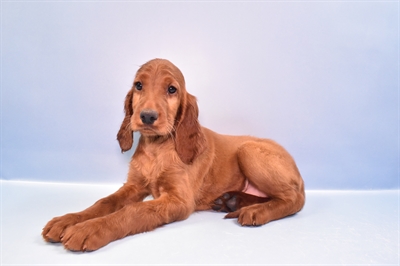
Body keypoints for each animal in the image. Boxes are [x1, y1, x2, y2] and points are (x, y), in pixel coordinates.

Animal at [42, 58, 304, 251]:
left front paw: (89, 229)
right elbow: (105, 201)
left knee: (294, 199)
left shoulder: (178, 200)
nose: (147, 116)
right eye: (139, 85)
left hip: (249, 151)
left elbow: (133, 211)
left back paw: (255, 211)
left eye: (171, 90)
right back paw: (231, 201)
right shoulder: (134, 186)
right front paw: (68, 220)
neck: (156, 148)